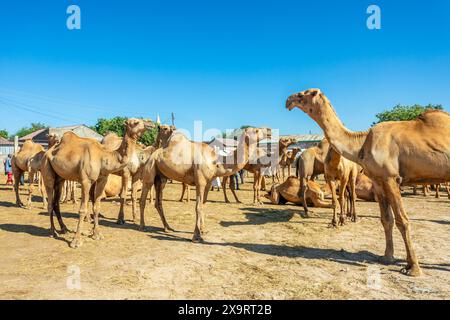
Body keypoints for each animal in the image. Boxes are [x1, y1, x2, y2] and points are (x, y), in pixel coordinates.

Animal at [40, 119, 153, 249]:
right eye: (135, 122)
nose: (150, 123)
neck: (103, 156)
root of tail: (47, 152)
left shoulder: (102, 179)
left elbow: (97, 206)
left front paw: (97, 234)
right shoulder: (86, 181)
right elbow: (82, 209)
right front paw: (76, 241)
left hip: (60, 178)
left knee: (56, 202)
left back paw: (64, 228)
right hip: (47, 170)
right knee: (50, 202)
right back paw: (53, 232)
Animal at [139, 126, 270, 241]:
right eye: (256, 130)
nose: (269, 130)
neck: (216, 162)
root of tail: (152, 154)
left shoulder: (208, 183)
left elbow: (203, 204)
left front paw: (203, 230)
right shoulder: (200, 182)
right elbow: (198, 206)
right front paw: (196, 236)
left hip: (161, 178)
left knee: (159, 202)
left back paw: (167, 227)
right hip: (150, 170)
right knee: (143, 197)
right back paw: (142, 226)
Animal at [288, 88, 450, 278]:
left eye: (303, 94)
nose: (288, 100)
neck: (362, 142)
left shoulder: (391, 178)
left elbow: (402, 220)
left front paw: (413, 268)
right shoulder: (379, 180)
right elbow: (386, 219)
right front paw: (387, 257)